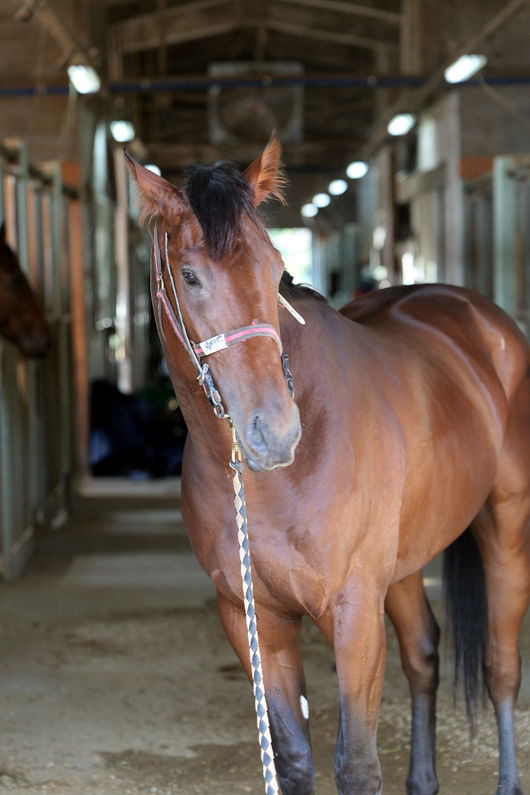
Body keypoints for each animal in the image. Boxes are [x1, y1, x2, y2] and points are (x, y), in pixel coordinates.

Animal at [126, 137, 524, 795]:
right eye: (189, 275)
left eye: (274, 267)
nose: (275, 432)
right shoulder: (253, 619)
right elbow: (291, 758)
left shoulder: (355, 612)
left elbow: (356, 764)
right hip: (404, 563)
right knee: (424, 655)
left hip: (505, 526)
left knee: (500, 666)